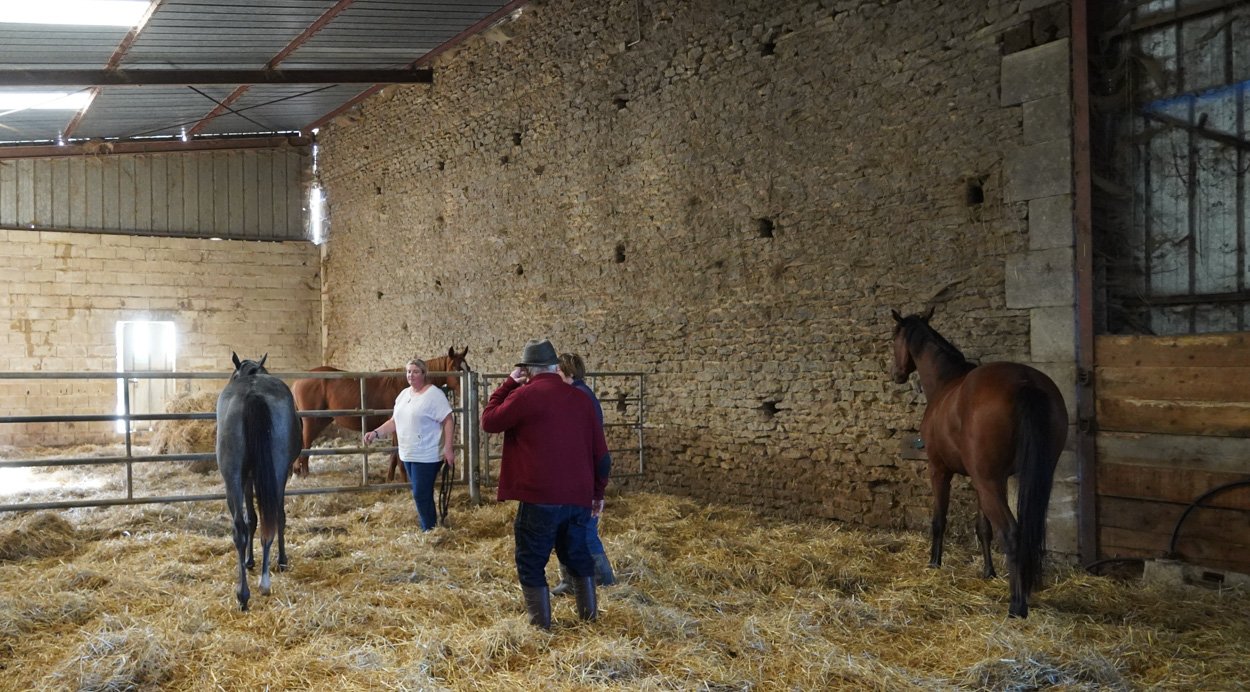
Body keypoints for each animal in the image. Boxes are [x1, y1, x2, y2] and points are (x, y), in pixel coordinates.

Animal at [215, 352, 300, 611]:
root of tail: (253, 394)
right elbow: (271, 517)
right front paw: (280, 561)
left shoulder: (248, 478)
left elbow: (251, 519)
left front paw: (249, 561)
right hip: (275, 472)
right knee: (269, 519)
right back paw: (263, 583)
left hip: (233, 477)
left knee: (240, 528)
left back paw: (243, 594)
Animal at [290, 347, 469, 482]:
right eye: (456, 368)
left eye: (468, 368)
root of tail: (298, 381)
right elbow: (398, 454)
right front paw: (404, 480)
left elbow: (394, 454)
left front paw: (390, 478)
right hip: (312, 421)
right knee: (305, 445)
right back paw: (305, 474)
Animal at [890, 309, 1067, 618]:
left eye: (894, 338)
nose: (897, 374)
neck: (946, 382)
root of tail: (1025, 382)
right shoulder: (981, 478)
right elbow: (983, 527)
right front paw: (988, 572)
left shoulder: (940, 470)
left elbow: (939, 519)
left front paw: (934, 563)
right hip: (1018, 478)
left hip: (989, 482)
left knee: (1011, 533)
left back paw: (1017, 605)